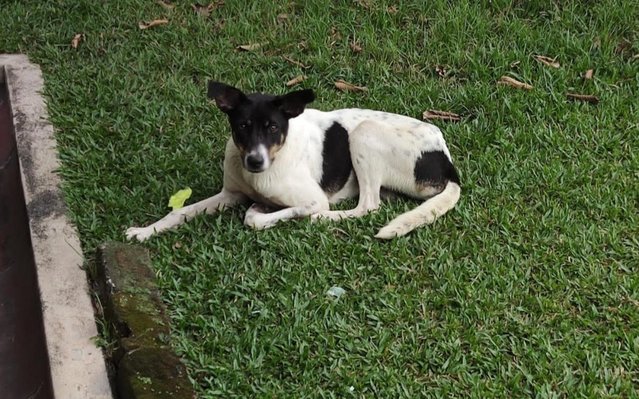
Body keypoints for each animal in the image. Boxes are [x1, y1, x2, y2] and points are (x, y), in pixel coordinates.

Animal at [126, 82, 460, 241]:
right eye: (243, 126)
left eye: (274, 127)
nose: (254, 161)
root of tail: (447, 162)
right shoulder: (230, 193)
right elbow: (179, 213)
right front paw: (144, 232)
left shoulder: (312, 199)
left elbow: (259, 218)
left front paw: (264, 211)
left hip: (364, 132)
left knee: (368, 206)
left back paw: (325, 219)